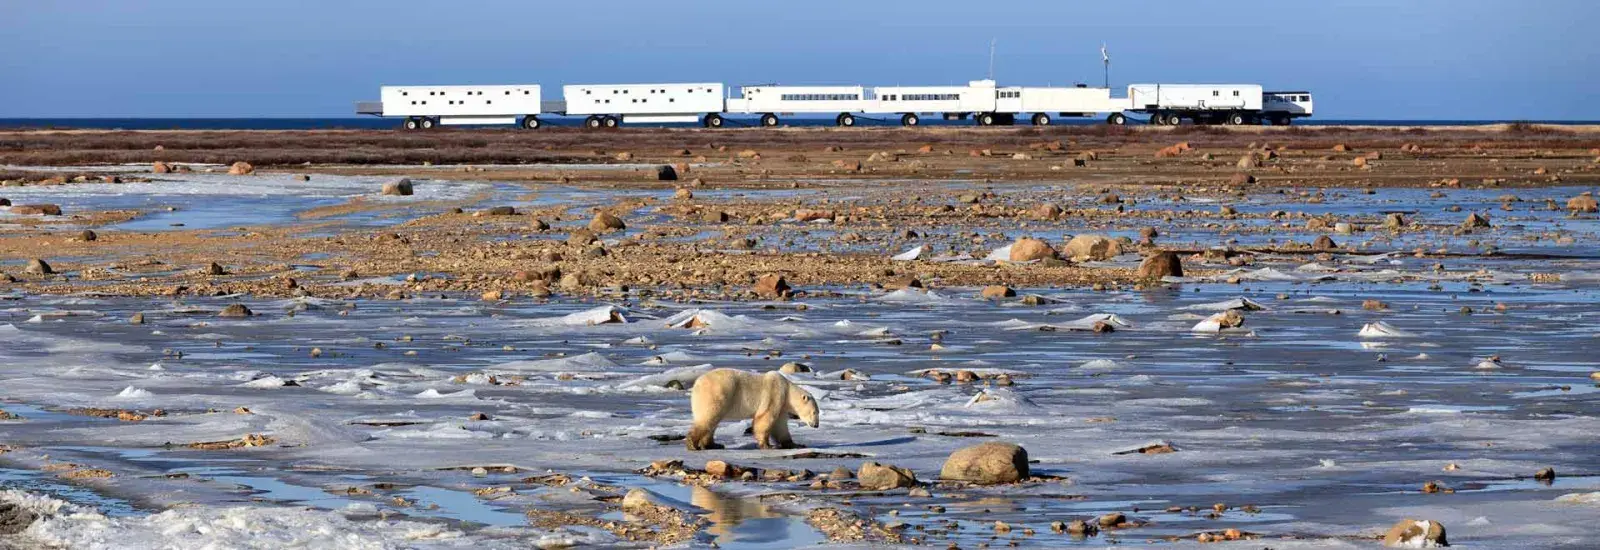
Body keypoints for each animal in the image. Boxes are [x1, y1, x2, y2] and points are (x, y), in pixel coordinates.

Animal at [687, 368, 819, 451]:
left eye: (818, 412)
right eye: (814, 412)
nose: (816, 425)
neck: (787, 390)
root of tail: (697, 384)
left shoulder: (781, 405)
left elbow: (780, 426)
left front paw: (796, 444)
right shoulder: (774, 394)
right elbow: (765, 418)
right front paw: (767, 445)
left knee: (712, 422)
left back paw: (714, 445)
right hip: (718, 393)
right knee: (708, 417)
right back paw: (693, 444)